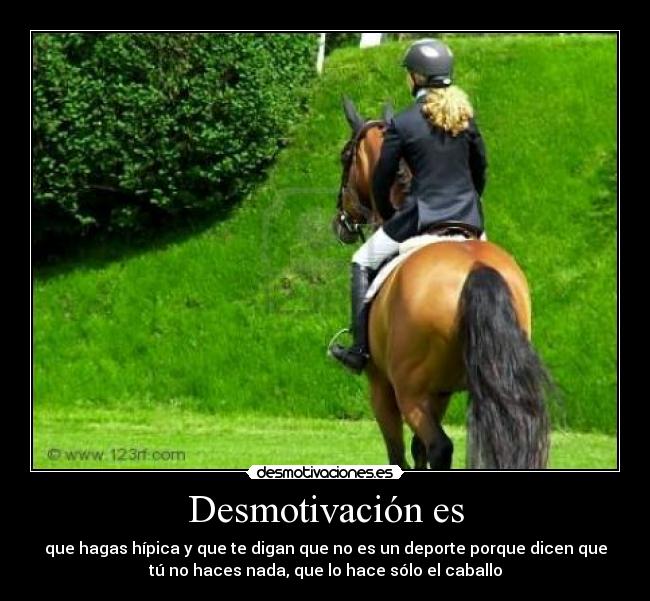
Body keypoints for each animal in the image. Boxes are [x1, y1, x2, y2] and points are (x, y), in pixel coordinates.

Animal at [332, 97, 551, 470]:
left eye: (346, 156)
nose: (340, 223)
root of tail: (476, 268)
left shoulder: (382, 386)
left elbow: (400, 453)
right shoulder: (441, 392)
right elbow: (418, 450)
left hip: (409, 390)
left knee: (440, 447)